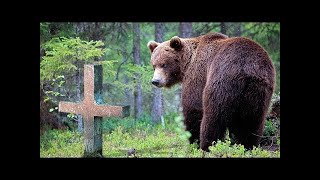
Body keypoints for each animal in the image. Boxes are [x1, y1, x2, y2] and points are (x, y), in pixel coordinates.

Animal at [148, 32, 276, 152]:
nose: (155, 81)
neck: (187, 63)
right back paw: (247, 145)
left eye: (164, 64)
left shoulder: (199, 74)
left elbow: (193, 107)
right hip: (259, 92)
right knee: (252, 121)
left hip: (221, 82)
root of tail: (248, 69)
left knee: (213, 117)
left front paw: (193, 141)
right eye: (154, 65)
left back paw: (207, 145)